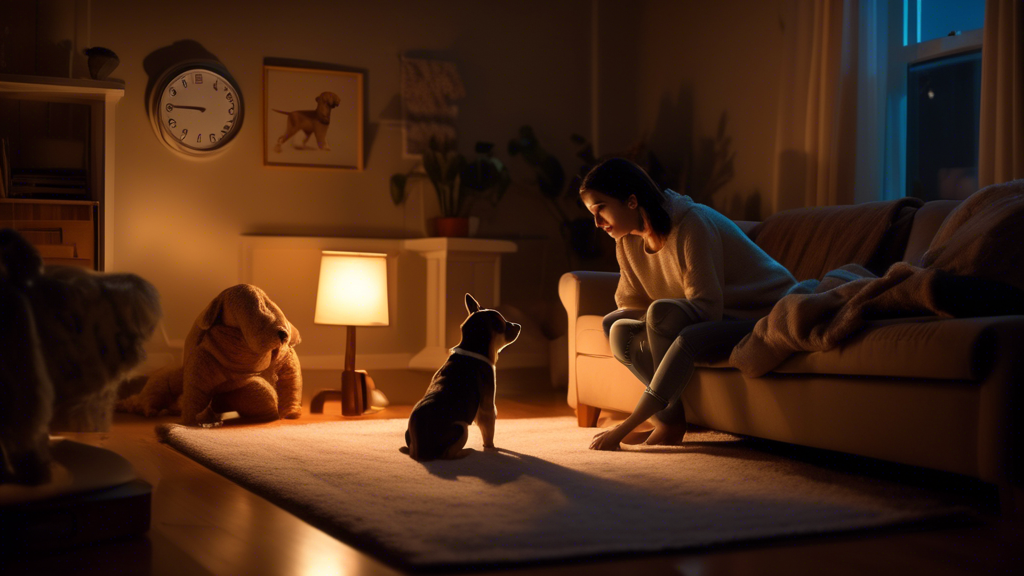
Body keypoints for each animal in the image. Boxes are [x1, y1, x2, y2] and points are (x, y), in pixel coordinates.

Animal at [403, 293, 520, 459]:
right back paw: (467, 452)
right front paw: (491, 448)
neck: (471, 347)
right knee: (447, 455)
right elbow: (489, 431)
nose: (518, 325)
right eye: (506, 325)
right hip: (461, 428)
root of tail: (419, 453)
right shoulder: (487, 406)